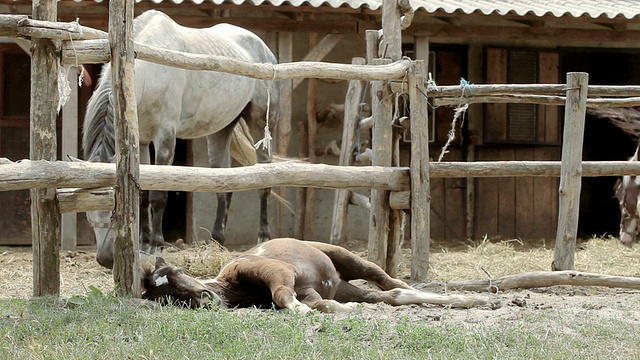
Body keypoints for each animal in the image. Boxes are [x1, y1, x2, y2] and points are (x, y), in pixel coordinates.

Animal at [82, 9, 278, 268]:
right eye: (87, 213)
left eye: (114, 213)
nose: (105, 259)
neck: (147, 72)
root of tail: (264, 49)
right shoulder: (142, 141)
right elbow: (144, 196)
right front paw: (143, 244)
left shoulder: (165, 137)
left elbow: (158, 196)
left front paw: (156, 244)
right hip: (220, 130)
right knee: (224, 184)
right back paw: (217, 240)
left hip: (261, 123)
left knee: (265, 182)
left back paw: (263, 237)